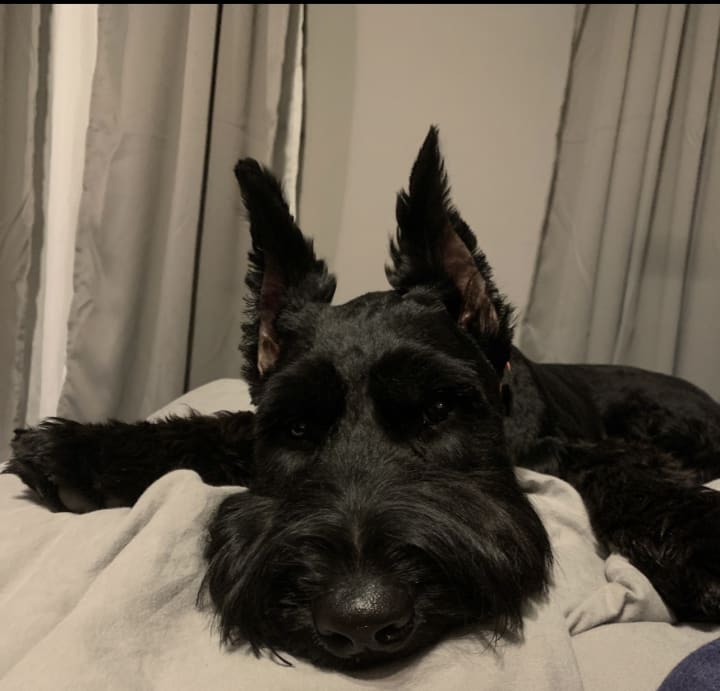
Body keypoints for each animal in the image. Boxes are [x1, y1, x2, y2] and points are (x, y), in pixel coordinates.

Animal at [6, 126, 720, 670]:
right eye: (296, 429)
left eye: (439, 410)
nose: (360, 619)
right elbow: (215, 428)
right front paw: (77, 452)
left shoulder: (565, 452)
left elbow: (626, 472)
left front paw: (698, 541)